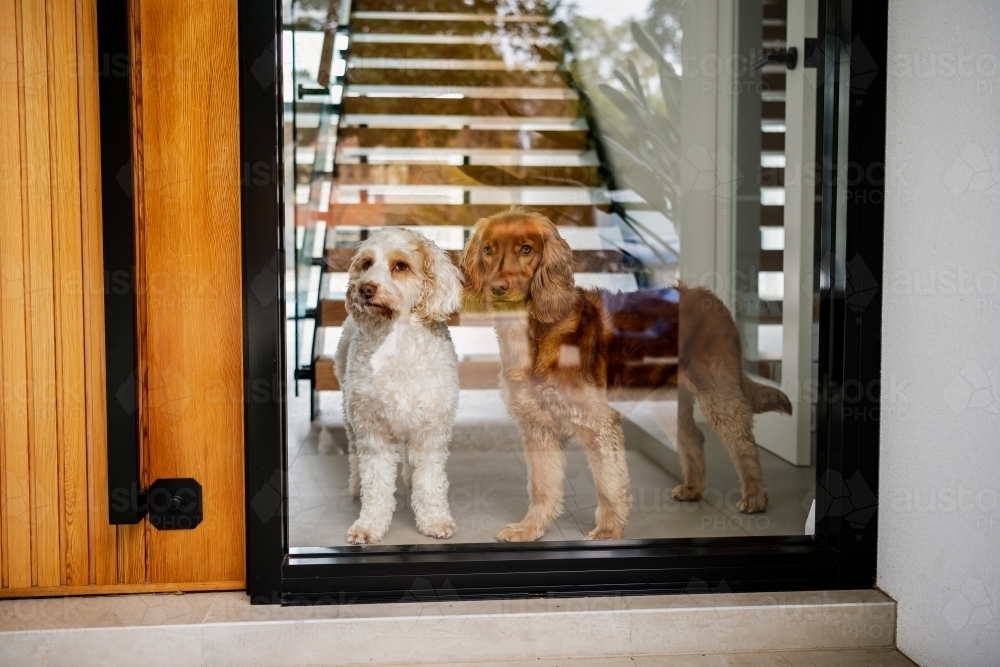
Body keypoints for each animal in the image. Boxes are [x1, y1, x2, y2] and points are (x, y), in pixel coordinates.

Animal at [334, 227, 462, 544]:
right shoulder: (373, 430)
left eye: (400, 266)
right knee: (355, 454)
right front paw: (369, 526)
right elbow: (376, 484)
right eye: (367, 263)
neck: (397, 340)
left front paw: (435, 520)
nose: (364, 289)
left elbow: (431, 482)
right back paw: (356, 485)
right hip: (350, 414)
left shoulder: (431, 430)